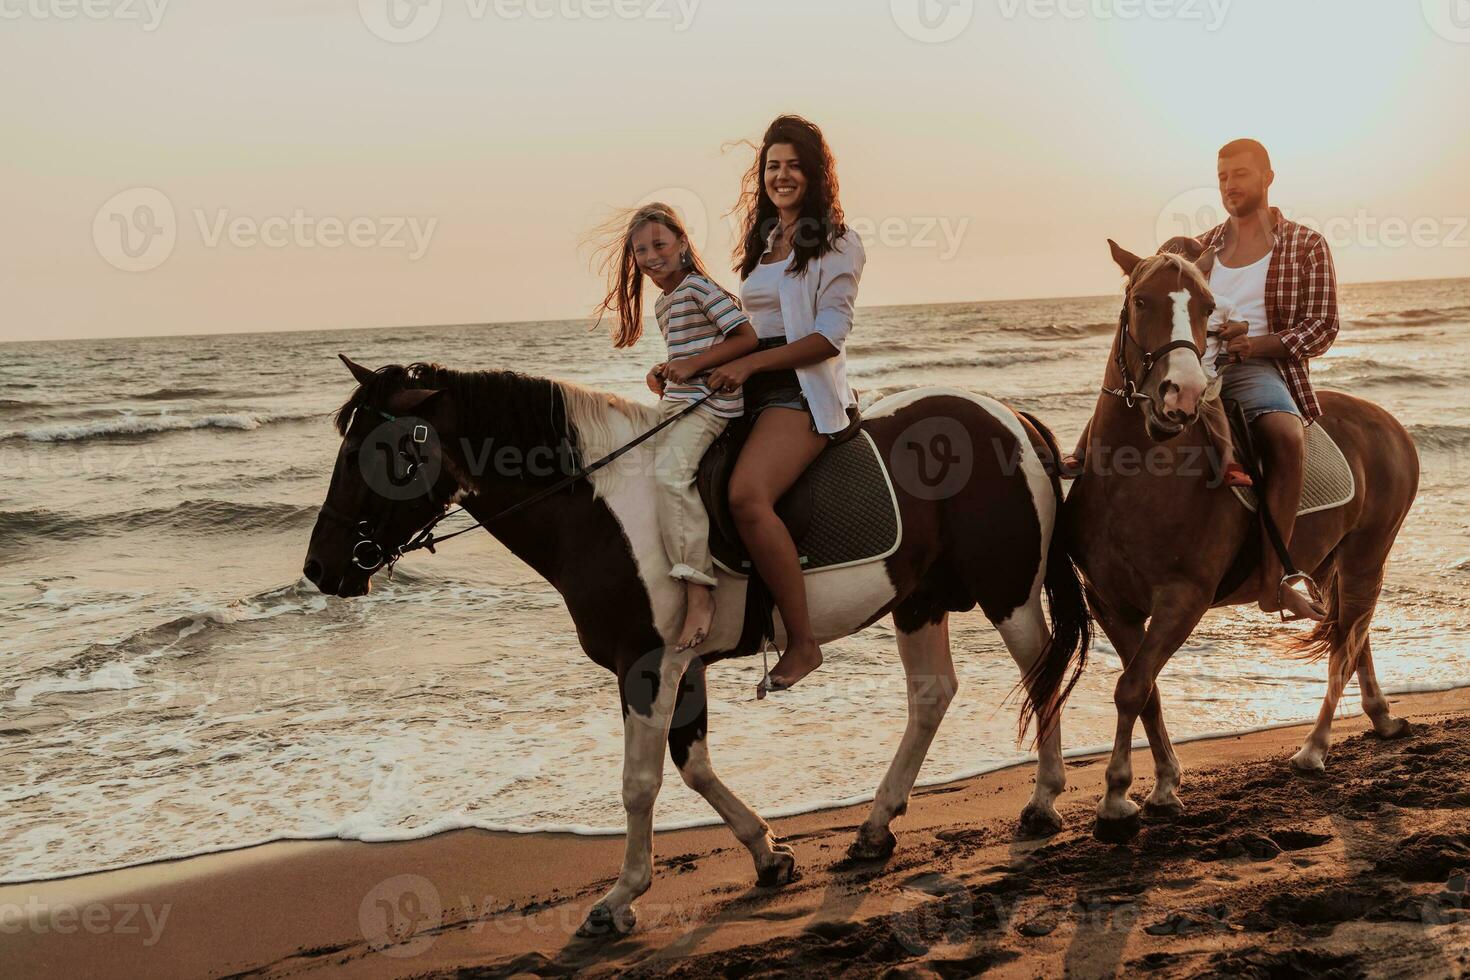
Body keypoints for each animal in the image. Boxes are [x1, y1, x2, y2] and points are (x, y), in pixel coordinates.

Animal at [301, 358, 1093, 934]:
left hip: (1007, 593)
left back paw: (1043, 803)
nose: (320, 568)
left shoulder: (647, 666)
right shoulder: (681, 669)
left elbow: (640, 782)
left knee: (1042, 674)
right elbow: (694, 765)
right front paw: (768, 854)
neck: (603, 508)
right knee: (932, 697)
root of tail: (1009, 417)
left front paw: (620, 898)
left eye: (374, 451)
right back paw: (874, 828)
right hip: (919, 600)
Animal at [1070, 243, 1422, 846]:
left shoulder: (1183, 599)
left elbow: (1132, 686)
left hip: (1367, 557)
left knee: (1346, 645)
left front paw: (1116, 799)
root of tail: (1389, 423)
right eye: (1140, 301)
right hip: (1333, 563)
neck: (1136, 475)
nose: (1182, 395)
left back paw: (1314, 749)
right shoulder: (1110, 603)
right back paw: (1379, 717)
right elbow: (1145, 688)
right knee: (1356, 638)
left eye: (1208, 307)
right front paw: (1163, 786)